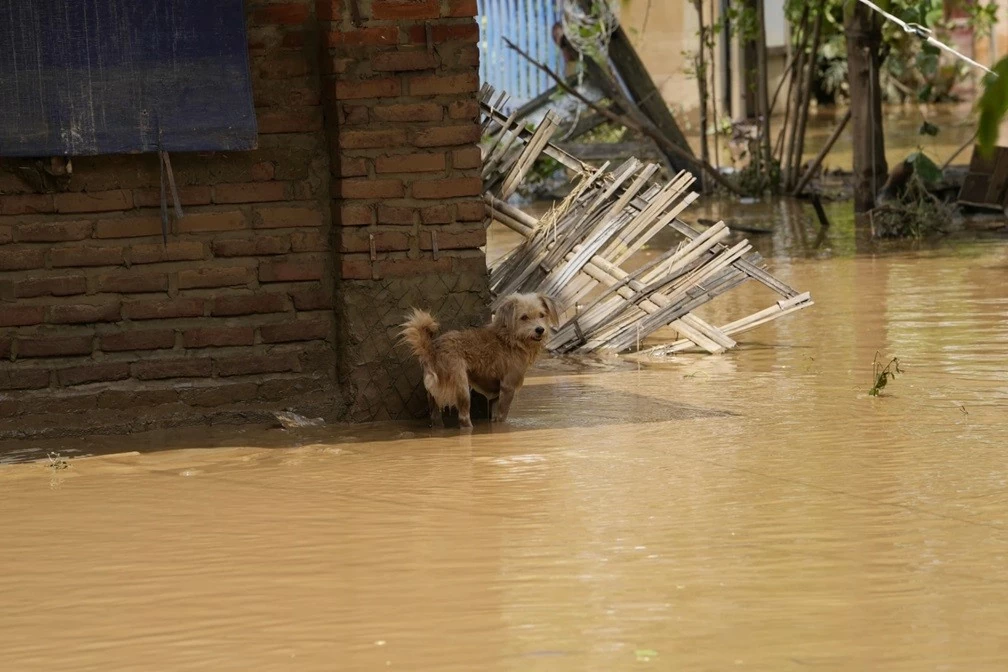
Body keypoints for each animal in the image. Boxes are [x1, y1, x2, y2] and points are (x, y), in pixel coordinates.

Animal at [399, 292, 560, 429]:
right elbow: (502, 416)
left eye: (542, 315)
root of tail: (432, 350)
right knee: (463, 418)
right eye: (524, 317)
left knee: (435, 418)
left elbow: (495, 417)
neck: (509, 338)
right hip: (462, 387)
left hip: (433, 398)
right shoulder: (508, 387)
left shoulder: (496, 394)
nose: (540, 329)